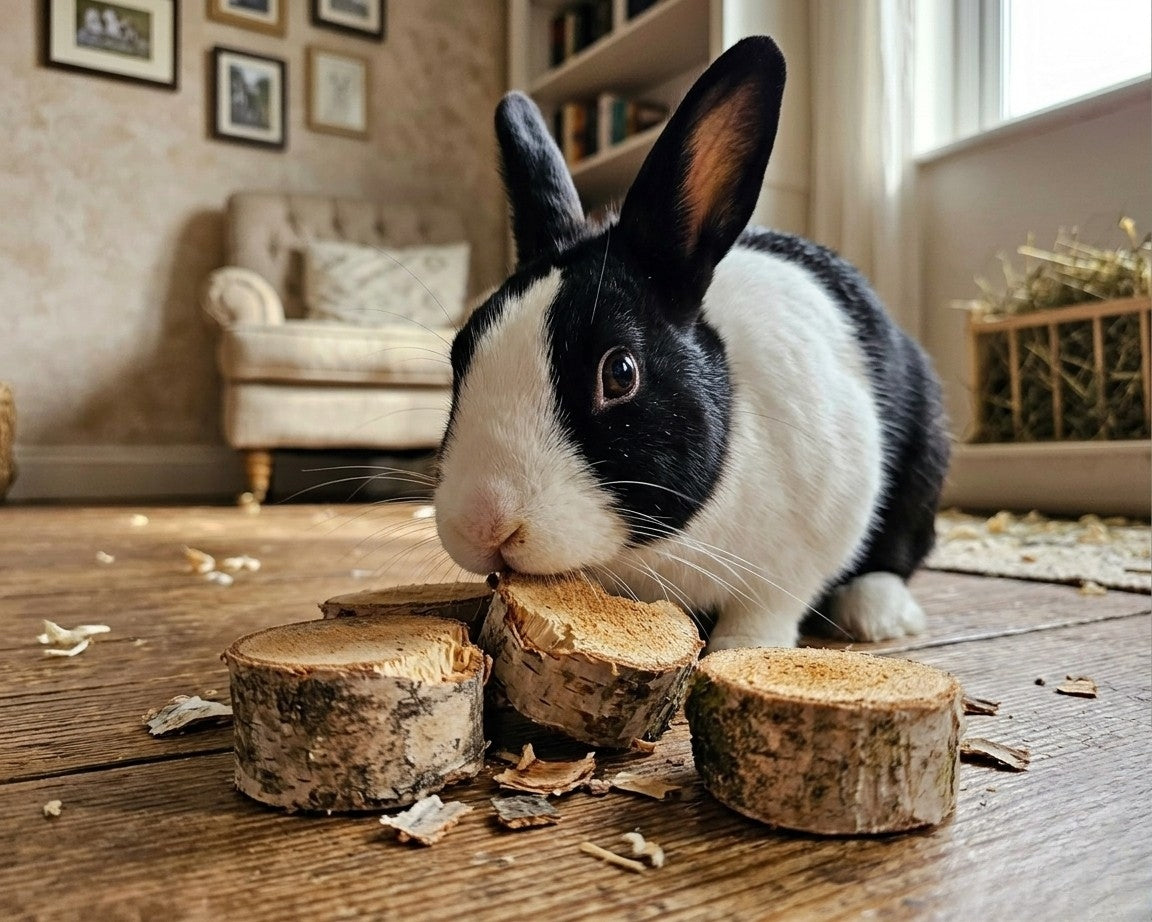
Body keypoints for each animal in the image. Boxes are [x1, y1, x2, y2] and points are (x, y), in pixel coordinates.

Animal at [433, 35, 950, 650]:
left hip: (923, 470)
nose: (485, 524)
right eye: (460, 355)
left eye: (620, 372)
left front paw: (743, 651)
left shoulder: (808, 543)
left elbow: (768, 608)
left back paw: (876, 614)